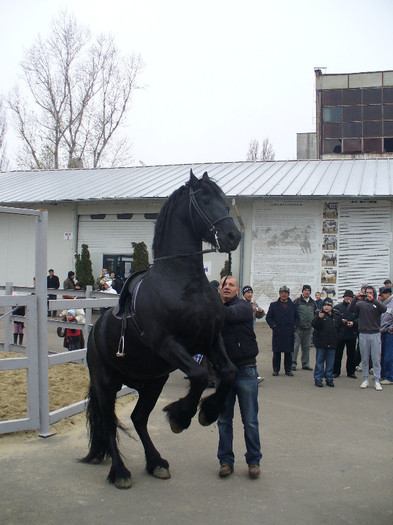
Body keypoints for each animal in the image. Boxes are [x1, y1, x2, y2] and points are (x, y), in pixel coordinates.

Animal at [81, 169, 240, 488]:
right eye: (205, 199)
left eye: (223, 199)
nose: (234, 236)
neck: (183, 283)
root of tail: (95, 330)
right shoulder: (167, 343)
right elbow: (199, 374)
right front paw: (181, 416)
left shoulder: (210, 341)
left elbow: (229, 372)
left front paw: (207, 412)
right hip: (105, 383)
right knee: (109, 423)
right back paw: (120, 472)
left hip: (153, 382)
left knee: (139, 419)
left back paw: (156, 462)